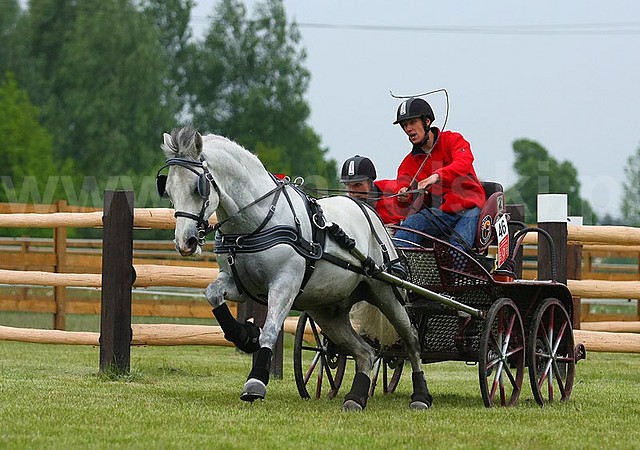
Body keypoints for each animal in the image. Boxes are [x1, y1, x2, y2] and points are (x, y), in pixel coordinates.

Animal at [158, 126, 432, 412]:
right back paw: (356, 397)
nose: (185, 243)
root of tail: (368, 211)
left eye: (197, 188)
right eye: (168, 190)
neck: (256, 222)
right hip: (327, 311)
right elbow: (212, 295)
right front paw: (245, 336)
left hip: (386, 293)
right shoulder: (239, 285)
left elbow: (270, 330)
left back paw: (420, 396)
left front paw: (256, 381)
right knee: (365, 352)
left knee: (411, 341)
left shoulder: (284, 284)